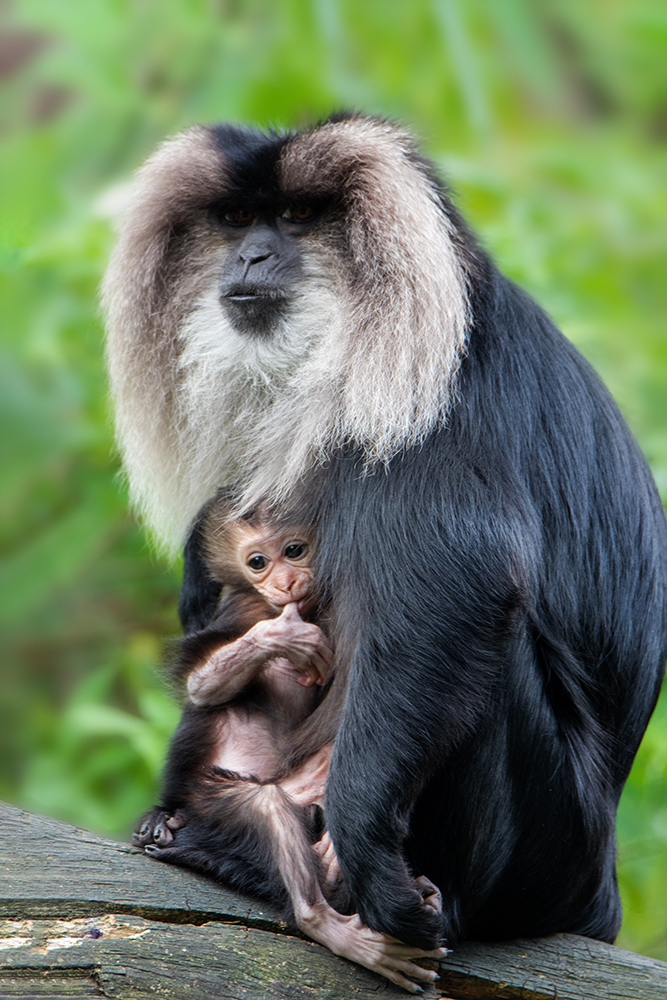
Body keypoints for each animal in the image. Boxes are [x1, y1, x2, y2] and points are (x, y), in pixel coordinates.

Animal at [134, 508, 444, 992]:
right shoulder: (243, 608)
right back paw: (325, 921)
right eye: (257, 562)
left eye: (294, 550)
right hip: (212, 794)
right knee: (267, 808)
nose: (284, 581)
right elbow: (202, 688)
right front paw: (284, 638)